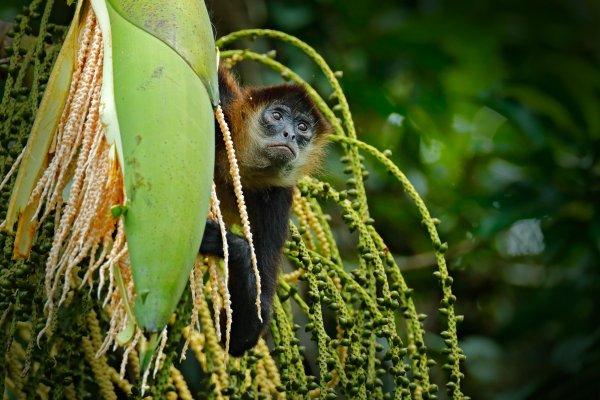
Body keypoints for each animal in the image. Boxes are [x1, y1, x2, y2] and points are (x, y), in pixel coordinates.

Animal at [199, 68, 330, 356]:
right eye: (277, 116)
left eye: (302, 127)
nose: (289, 134)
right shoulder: (222, 114)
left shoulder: (279, 198)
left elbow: (243, 335)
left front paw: (230, 246)